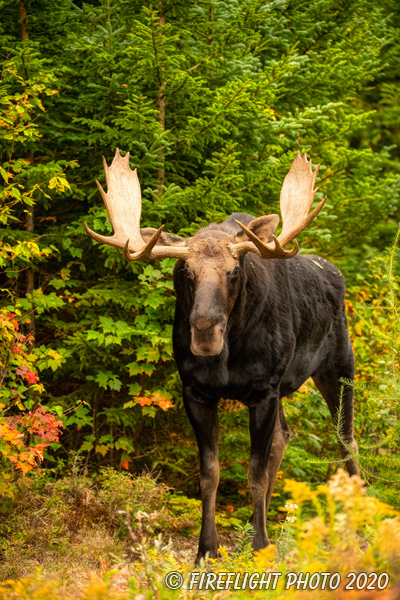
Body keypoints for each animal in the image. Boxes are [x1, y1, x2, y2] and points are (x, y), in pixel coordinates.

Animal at [84, 149, 360, 564]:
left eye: (233, 272)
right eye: (186, 271)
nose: (204, 329)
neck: (229, 357)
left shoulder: (263, 390)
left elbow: (255, 473)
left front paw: (260, 547)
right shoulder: (196, 391)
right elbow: (209, 474)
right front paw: (207, 549)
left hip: (339, 367)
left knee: (347, 440)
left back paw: (358, 529)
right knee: (285, 436)